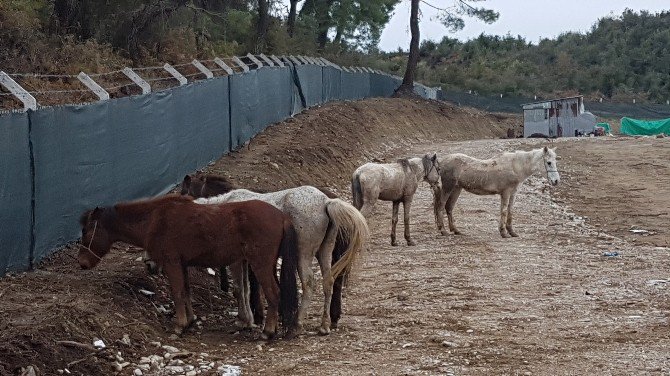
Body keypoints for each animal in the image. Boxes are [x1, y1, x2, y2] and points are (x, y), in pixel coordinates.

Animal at [77, 195, 300, 340]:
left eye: (86, 231)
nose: (82, 262)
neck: (155, 220)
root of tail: (282, 217)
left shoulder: (172, 263)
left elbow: (177, 292)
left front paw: (180, 325)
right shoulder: (182, 264)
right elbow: (186, 291)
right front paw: (190, 320)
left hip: (261, 265)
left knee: (273, 293)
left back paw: (267, 332)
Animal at [192, 179, 370, 334]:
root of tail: (326, 202)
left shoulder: (237, 260)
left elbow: (239, 288)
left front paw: (244, 320)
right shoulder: (245, 260)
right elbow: (246, 288)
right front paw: (250, 319)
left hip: (303, 254)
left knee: (309, 283)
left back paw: (297, 324)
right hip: (324, 251)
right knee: (328, 281)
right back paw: (324, 325)